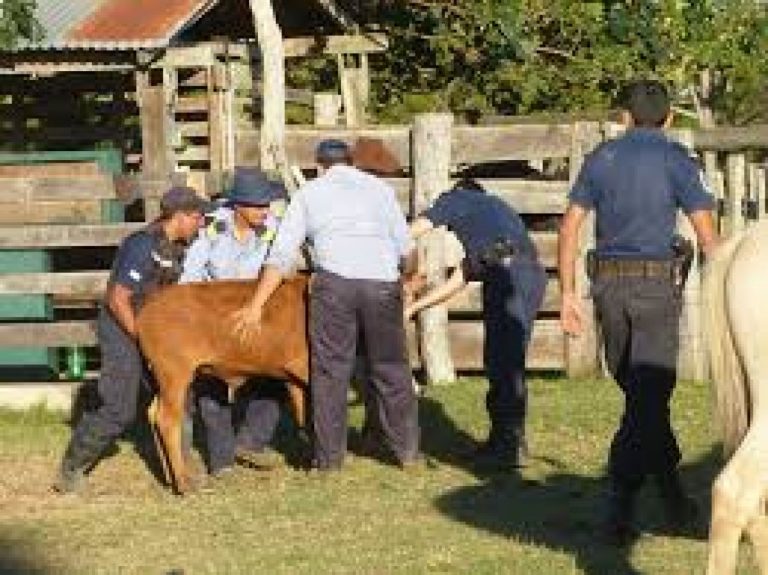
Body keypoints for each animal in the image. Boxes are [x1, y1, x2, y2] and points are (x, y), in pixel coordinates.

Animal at [136, 274, 309, 494]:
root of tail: (149, 306)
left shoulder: (296, 381)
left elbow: (304, 418)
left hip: (161, 380)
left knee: (152, 414)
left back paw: (170, 478)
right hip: (174, 375)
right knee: (167, 420)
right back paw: (184, 483)